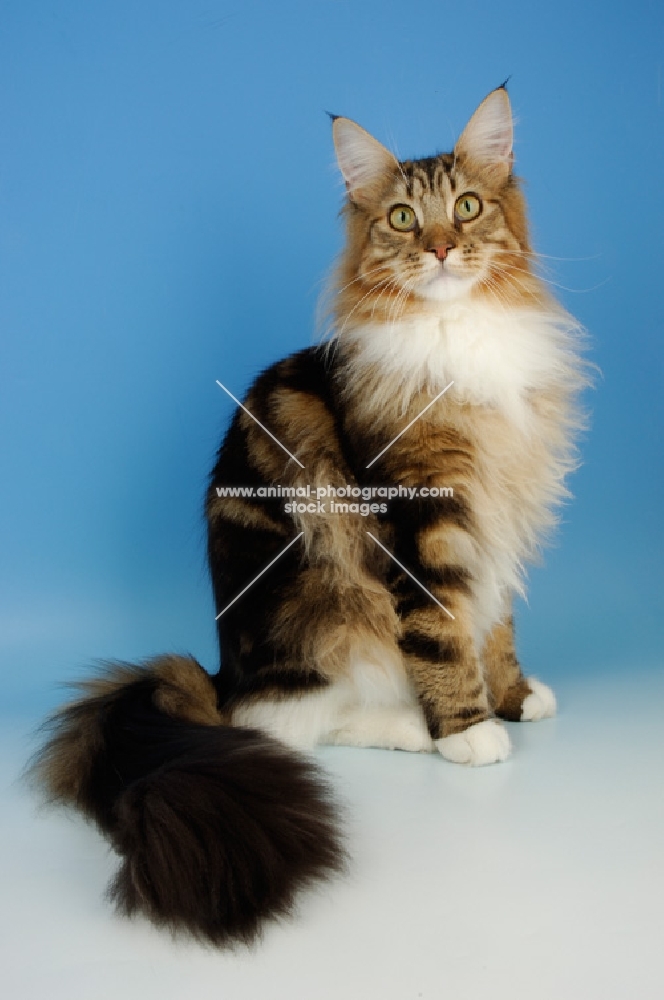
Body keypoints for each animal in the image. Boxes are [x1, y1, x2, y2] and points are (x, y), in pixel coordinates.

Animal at [31, 86, 588, 944]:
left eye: (466, 207)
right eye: (402, 218)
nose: (440, 250)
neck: (455, 334)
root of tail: (218, 675)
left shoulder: (494, 514)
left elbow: (493, 622)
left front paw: (514, 695)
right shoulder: (422, 518)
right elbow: (443, 634)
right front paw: (469, 729)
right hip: (331, 604)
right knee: (283, 722)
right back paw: (409, 728)